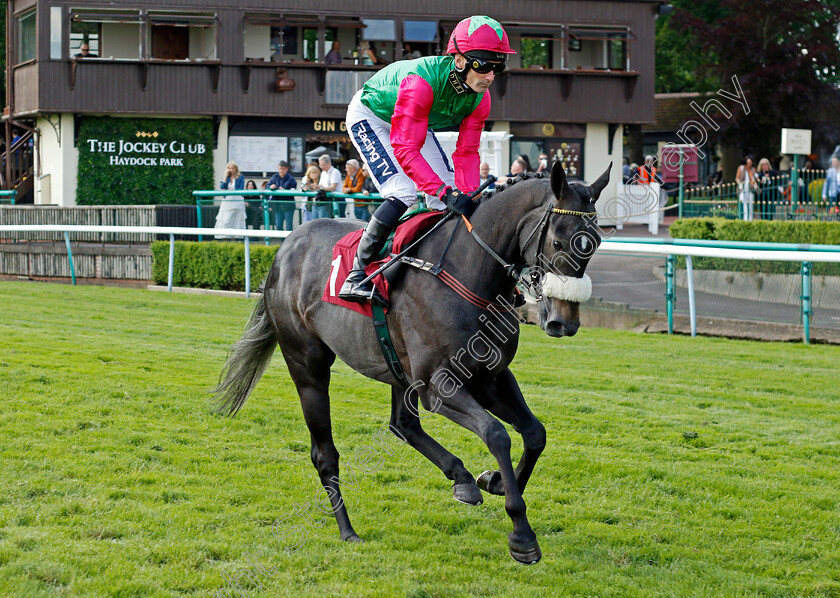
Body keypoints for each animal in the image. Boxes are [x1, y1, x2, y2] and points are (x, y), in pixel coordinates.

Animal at [215, 161, 612, 568]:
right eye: (559, 242)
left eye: (595, 242)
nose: (564, 322)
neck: (469, 274)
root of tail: (285, 249)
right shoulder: (438, 385)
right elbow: (496, 433)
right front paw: (521, 534)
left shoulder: (491, 376)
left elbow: (534, 433)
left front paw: (495, 481)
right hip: (307, 365)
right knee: (324, 453)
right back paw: (347, 530)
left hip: (397, 370)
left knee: (402, 425)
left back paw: (461, 478)